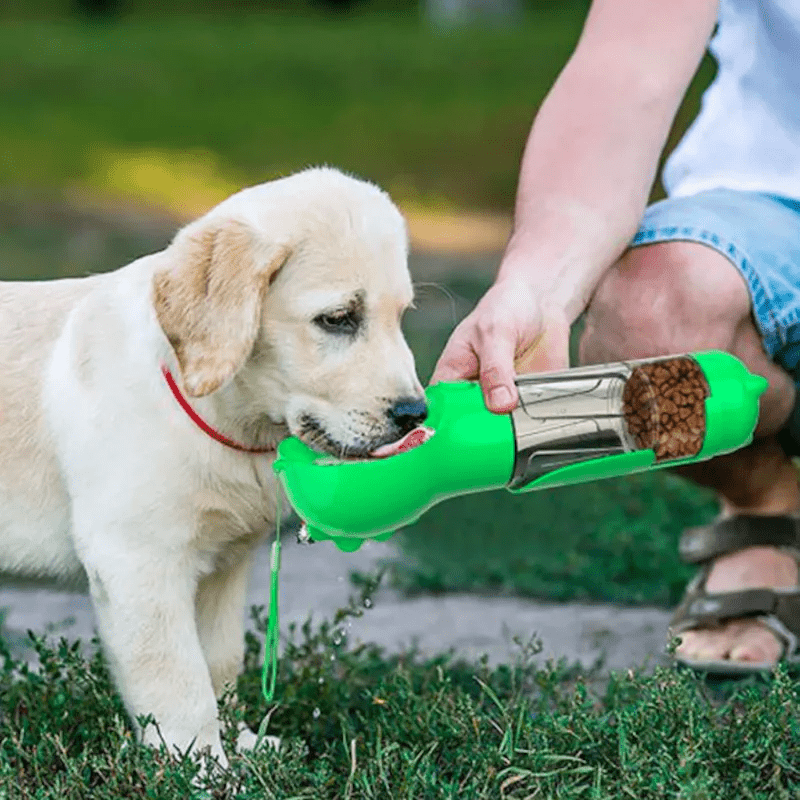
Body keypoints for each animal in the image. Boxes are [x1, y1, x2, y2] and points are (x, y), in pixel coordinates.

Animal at [0, 167, 424, 764]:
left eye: (400, 316)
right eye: (339, 319)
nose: (415, 414)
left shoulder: (223, 564)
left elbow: (219, 663)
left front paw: (240, 744)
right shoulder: (138, 561)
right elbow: (178, 681)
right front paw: (200, 767)